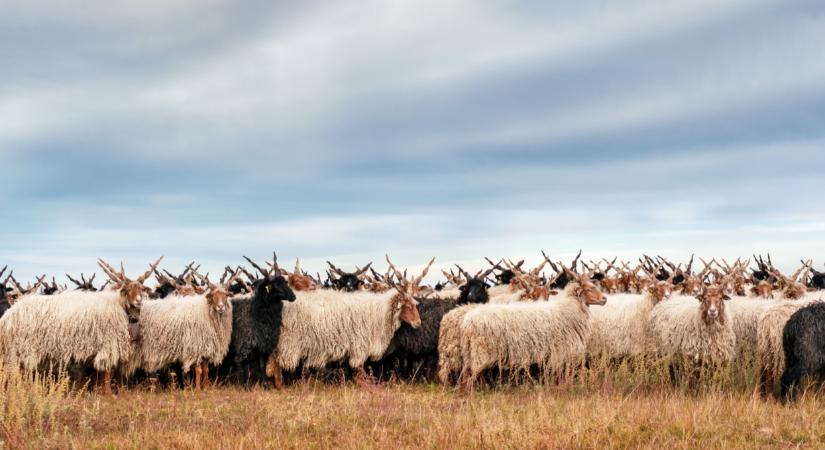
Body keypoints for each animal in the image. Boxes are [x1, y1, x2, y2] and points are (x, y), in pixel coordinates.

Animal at [220, 255, 294, 388]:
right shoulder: (244, 342)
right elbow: (245, 365)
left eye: (285, 282)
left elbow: (262, 365)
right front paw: (246, 385)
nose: (293, 297)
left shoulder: (263, 343)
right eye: (275, 286)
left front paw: (265, 385)